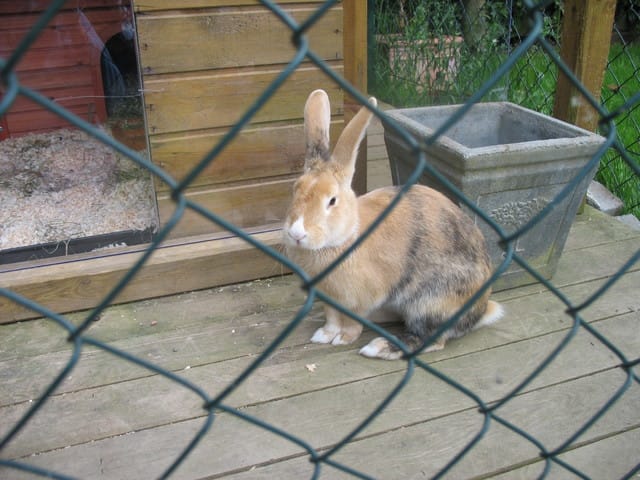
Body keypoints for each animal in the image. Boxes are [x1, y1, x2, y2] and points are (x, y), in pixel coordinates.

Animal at [282, 89, 503, 360]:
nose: (296, 233)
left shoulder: (360, 299)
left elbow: (352, 323)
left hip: (431, 302)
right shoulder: (329, 300)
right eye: (295, 189)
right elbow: (332, 319)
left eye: (332, 201)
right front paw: (324, 336)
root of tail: (481, 309)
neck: (344, 238)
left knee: (430, 338)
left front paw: (344, 339)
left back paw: (378, 347)